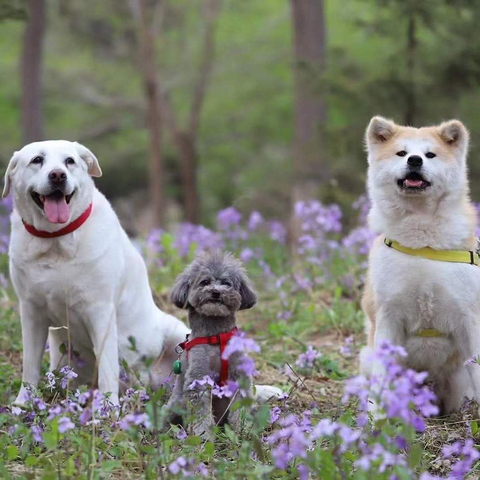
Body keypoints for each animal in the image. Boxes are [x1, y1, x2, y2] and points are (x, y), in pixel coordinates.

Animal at [3, 142, 280, 404]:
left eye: (69, 161)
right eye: (37, 160)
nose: (58, 175)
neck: (55, 241)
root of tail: (148, 382)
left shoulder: (100, 310)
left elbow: (107, 369)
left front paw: (106, 410)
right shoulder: (31, 311)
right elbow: (29, 367)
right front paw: (23, 403)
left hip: (178, 333)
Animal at [362, 116, 480, 412]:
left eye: (430, 155)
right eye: (401, 153)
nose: (414, 160)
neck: (422, 244)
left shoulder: (469, 319)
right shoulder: (388, 316)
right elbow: (381, 377)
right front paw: (375, 416)